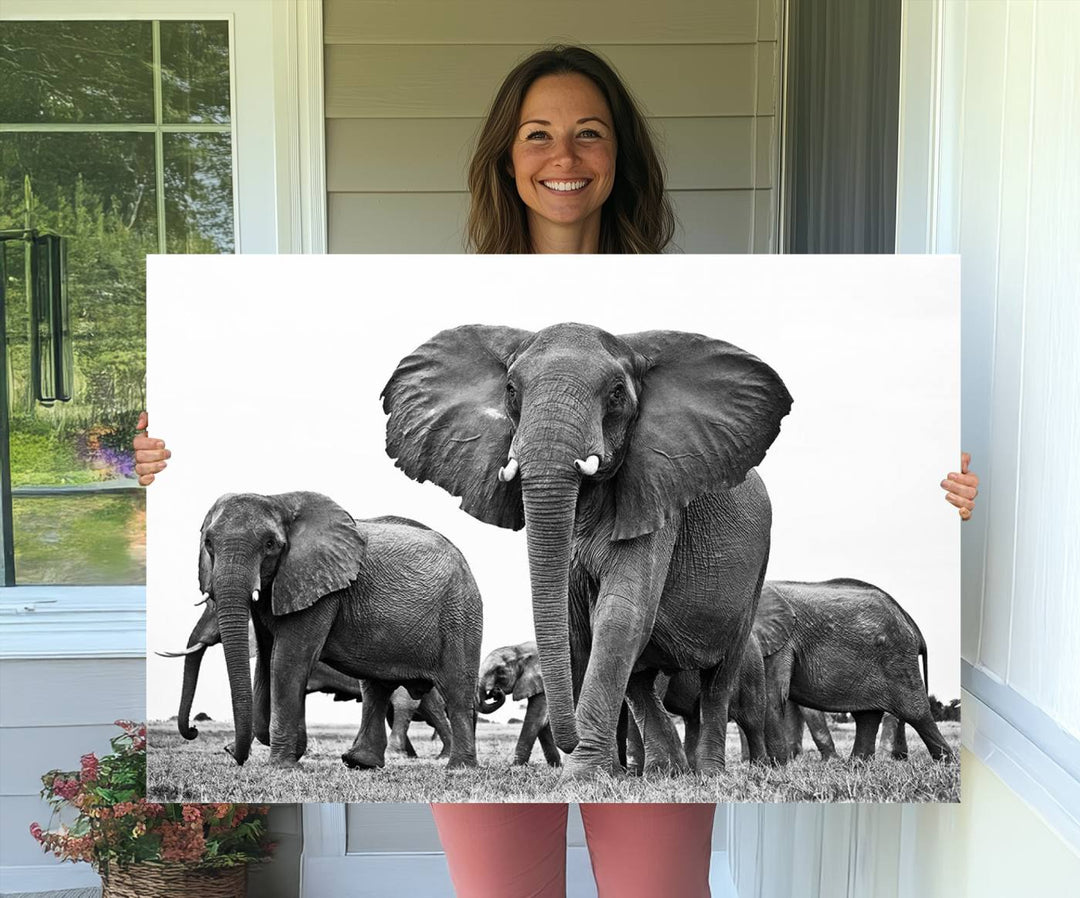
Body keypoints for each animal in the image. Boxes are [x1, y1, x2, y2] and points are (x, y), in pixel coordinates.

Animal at [156, 605, 451, 760]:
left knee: (406, 706)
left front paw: (232, 750)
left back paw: (417, 755)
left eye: (214, 611)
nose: (193, 729)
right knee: (424, 707)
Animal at [195, 494, 481, 769]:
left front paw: (283, 766)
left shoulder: (320, 589)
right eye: (208, 543)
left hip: (459, 614)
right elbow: (267, 661)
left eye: (269, 544)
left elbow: (288, 661)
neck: (281, 502)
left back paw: (458, 767)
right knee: (375, 688)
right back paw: (359, 762)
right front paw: (292, 748)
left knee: (456, 690)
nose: (236, 757)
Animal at [384, 324, 790, 778]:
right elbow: (577, 623)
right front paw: (604, 771)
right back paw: (664, 770)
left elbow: (620, 613)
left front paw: (583, 773)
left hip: (756, 574)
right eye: (510, 390)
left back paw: (705, 771)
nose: (572, 740)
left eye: (616, 393)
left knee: (718, 680)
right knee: (641, 679)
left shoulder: (658, 496)